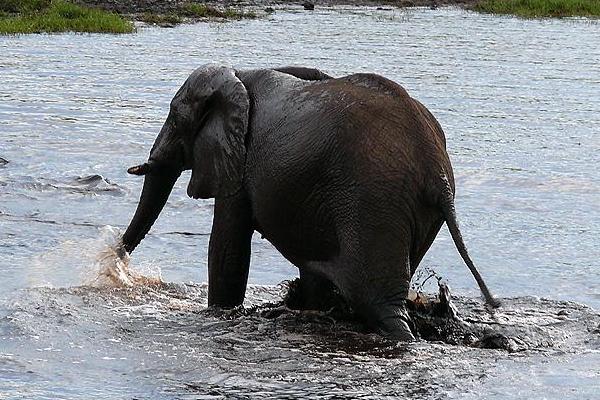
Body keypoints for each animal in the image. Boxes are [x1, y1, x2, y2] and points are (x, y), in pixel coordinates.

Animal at [119, 65, 500, 340]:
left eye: (174, 116)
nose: (115, 260)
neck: (238, 73)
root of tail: (437, 172)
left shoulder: (239, 163)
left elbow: (228, 250)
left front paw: (216, 315)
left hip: (371, 203)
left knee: (377, 303)